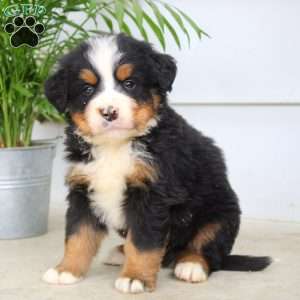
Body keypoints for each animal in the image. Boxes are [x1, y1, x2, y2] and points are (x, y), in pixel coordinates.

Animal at [42, 33, 272, 292]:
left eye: (129, 83)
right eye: (88, 89)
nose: (109, 112)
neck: (116, 146)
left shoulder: (152, 195)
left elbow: (143, 243)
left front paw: (135, 277)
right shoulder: (83, 189)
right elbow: (78, 235)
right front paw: (66, 270)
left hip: (220, 214)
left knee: (209, 250)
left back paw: (191, 265)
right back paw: (121, 252)